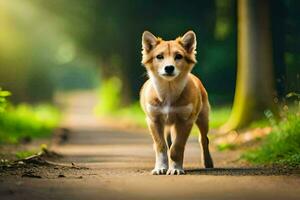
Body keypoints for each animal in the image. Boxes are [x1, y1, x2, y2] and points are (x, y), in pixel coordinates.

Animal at [140, 30, 213, 175]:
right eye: (159, 56)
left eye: (178, 56)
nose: (169, 68)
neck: (168, 93)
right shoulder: (153, 120)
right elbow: (161, 146)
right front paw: (161, 167)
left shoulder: (185, 121)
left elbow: (177, 147)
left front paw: (176, 168)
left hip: (203, 118)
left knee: (204, 139)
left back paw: (207, 162)